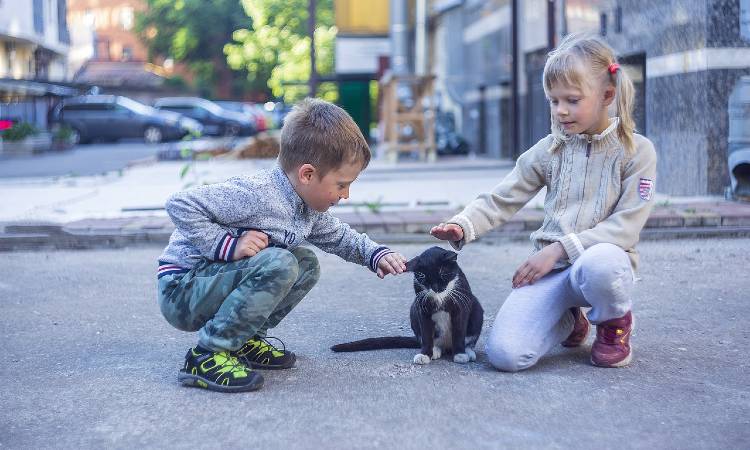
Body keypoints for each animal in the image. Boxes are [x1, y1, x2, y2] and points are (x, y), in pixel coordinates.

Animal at [332, 246, 484, 366]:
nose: (435, 288)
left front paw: (460, 354)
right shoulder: (421, 307)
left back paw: (468, 352)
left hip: (476, 308)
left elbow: (459, 331)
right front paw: (425, 354)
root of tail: (447, 345)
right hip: (413, 309)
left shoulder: (461, 303)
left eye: (442, 272)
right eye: (422, 275)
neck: (440, 296)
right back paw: (435, 350)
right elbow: (426, 333)